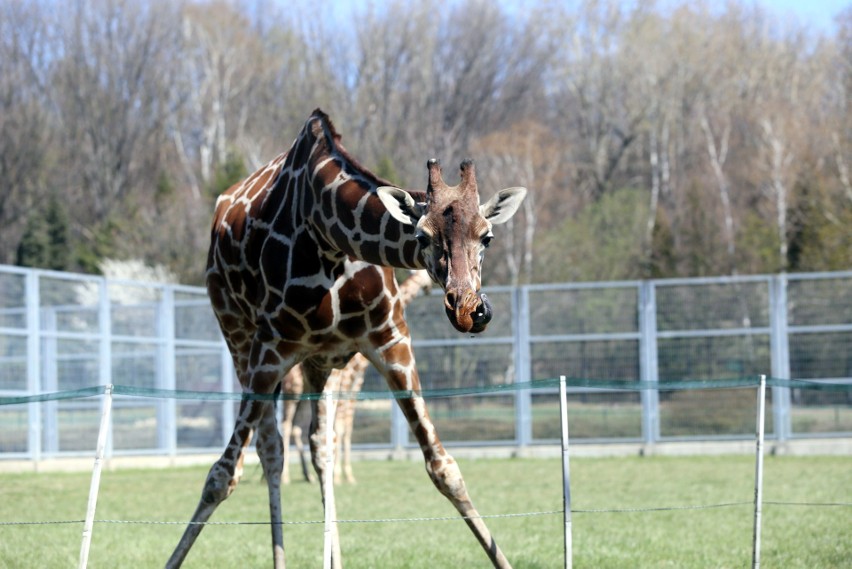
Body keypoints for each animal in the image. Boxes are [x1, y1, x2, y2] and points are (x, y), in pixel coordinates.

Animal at [282, 268, 432, 482]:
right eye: (422, 275)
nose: (429, 288)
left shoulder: (354, 384)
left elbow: (346, 426)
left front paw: (346, 474)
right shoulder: (350, 379)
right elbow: (340, 425)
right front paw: (340, 475)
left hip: (305, 389)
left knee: (296, 427)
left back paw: (307, 475)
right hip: (293, 388)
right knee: (286, 425)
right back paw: (286, 477)